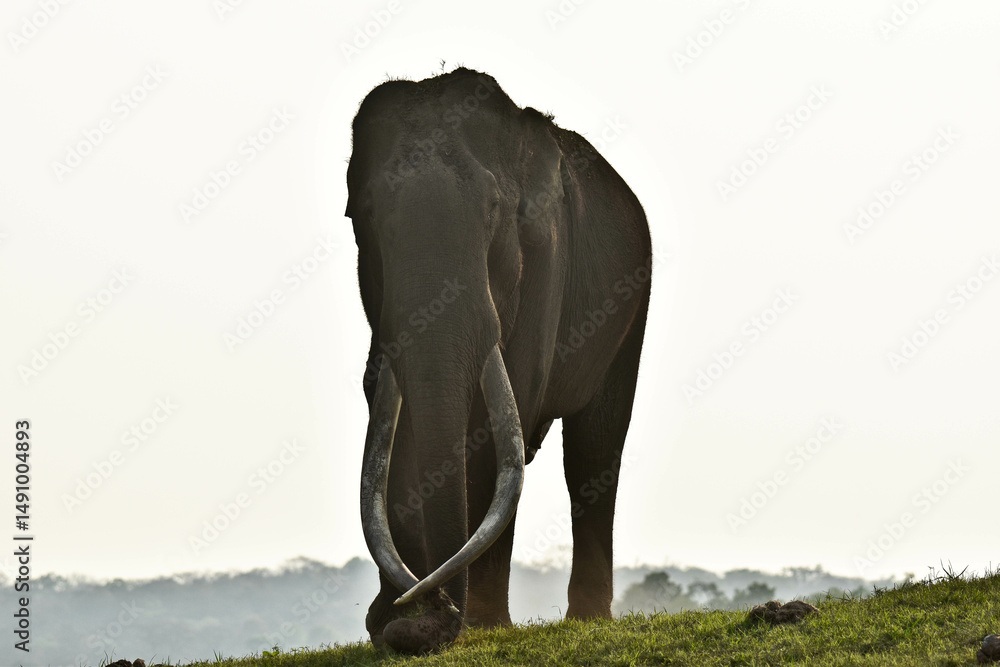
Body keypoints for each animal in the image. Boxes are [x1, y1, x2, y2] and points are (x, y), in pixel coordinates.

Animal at [346, 67, 651, 654]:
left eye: (495, 213)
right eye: (363, 214)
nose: (433, 608)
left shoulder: (546, 261)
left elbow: (502, 424)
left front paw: (480, 626)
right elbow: (391, 416)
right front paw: (394, 622)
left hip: (631, 310)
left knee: (594, 449)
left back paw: (587, 620)